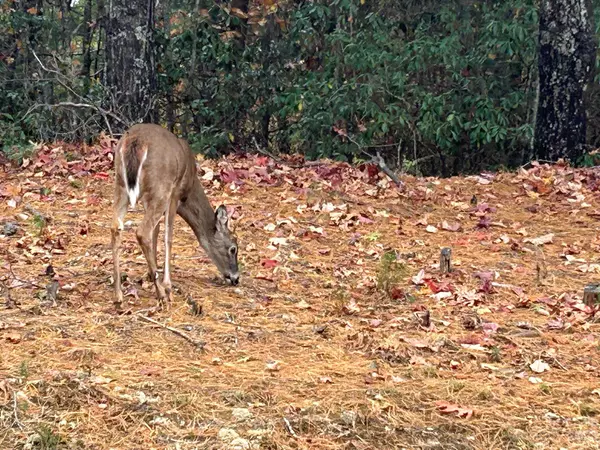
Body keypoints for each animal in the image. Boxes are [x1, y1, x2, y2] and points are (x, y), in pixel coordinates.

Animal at [111, 123, 238, 308]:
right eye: (233, 248)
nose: (236, 278)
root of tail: (135, 141)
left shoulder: (149, 198)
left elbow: (156, 232)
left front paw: (151, 272)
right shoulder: (175, 193)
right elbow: (168, 236)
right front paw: (167, 284)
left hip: (121, 184)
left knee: (116, 226)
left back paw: (118, 294)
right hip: (160, 187)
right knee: (142, 231)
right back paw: (162, 294)